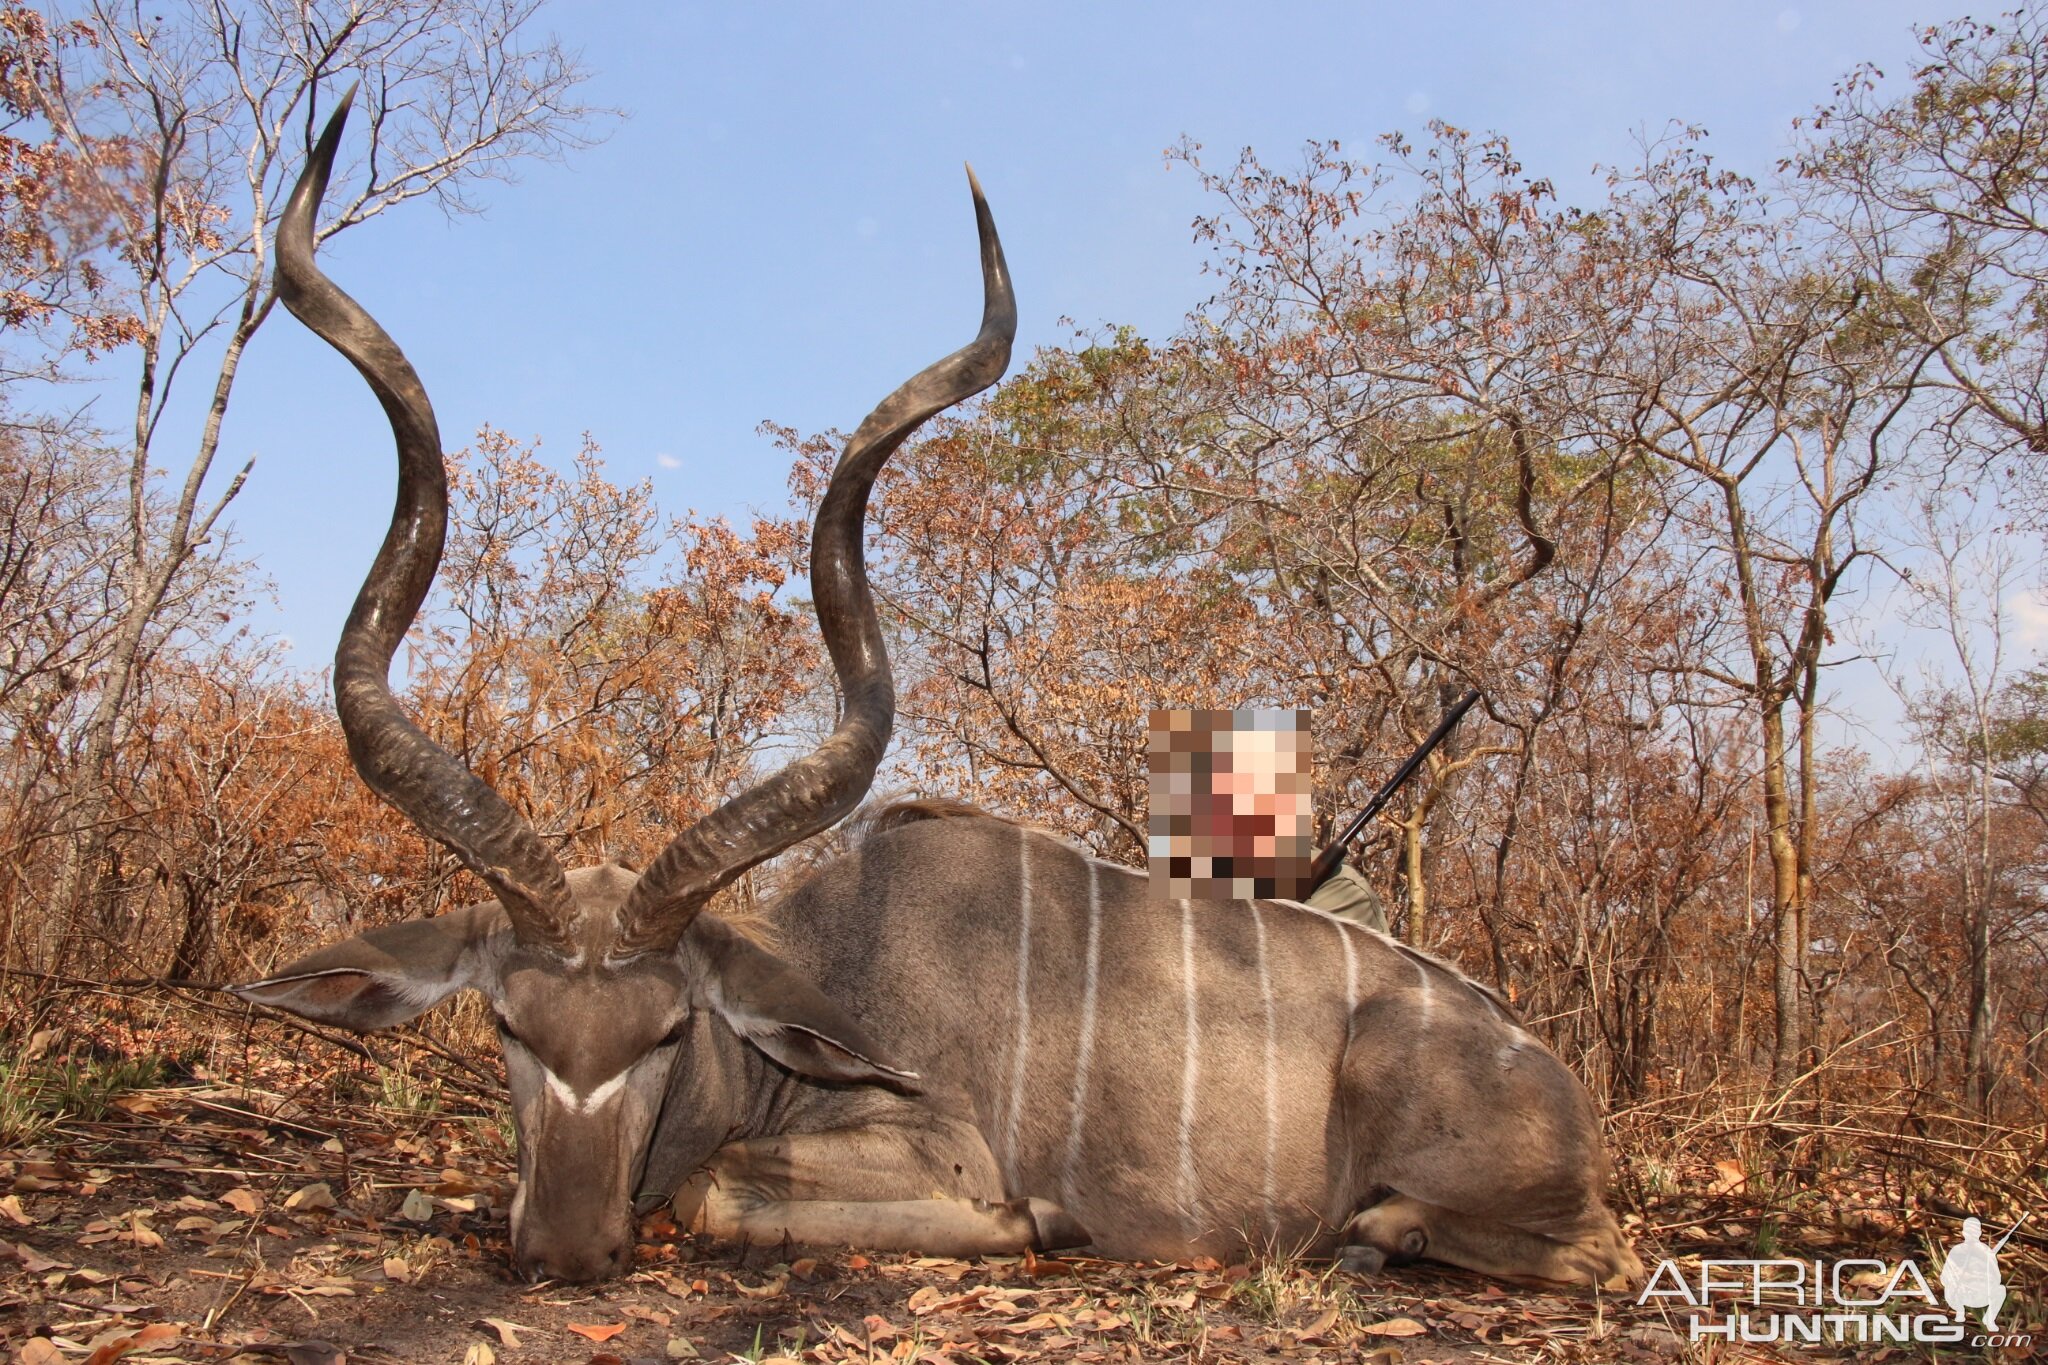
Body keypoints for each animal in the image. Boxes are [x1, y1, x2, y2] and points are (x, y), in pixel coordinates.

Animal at [235, 96, 1646, 1293]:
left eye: (666, 1033)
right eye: (508, 1028)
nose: (569, 1252)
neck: (824, 969)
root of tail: (1544, 1070)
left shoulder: (929, 1142)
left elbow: (713, 1190)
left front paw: (1035, 1219)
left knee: (1586, 1254)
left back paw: (1371, 1234)